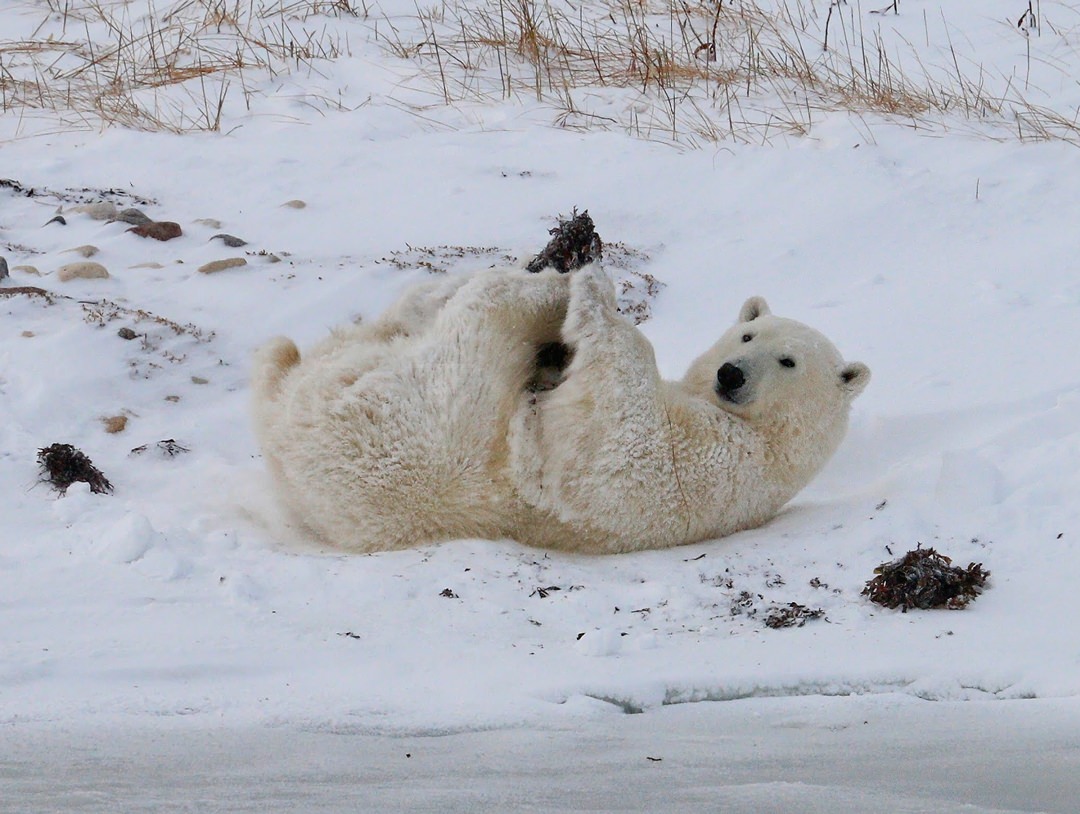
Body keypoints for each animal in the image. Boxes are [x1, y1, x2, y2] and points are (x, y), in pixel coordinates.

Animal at [251, 265, 869, 554]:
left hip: (423, 421)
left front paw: (593, 294)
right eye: (746, 334)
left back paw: (549, 284)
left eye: (787, 360)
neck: (771, 440)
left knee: (482, 320)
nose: (731, 374)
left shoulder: (716, 467)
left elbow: (617, 432)